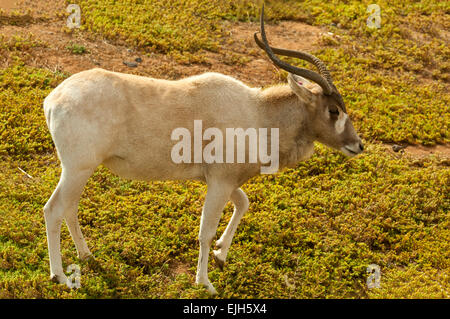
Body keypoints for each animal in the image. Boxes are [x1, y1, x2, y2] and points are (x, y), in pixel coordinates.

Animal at [44, 7, 364, 296]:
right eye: (333, 110)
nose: (358, 145)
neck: (258, 114)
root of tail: (53, 100)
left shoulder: (221, 179)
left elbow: (243, 202)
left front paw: (221, 254)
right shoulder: (220, 181)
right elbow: (205, 231)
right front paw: (205, 283)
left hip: (80, 171)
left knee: (69, 207)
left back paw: (86, 256)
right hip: (78, 169)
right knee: (54, 209)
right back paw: (60, 276)